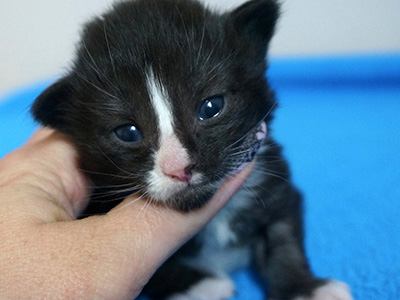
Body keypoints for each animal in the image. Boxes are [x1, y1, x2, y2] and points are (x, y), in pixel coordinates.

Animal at [31, 0, 352, 300]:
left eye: (211, 107)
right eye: (127, 132)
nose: (178, 168)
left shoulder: (272, 178)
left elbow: (283, 237)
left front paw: (303, 288)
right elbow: (160, 269)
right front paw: (202, 285)